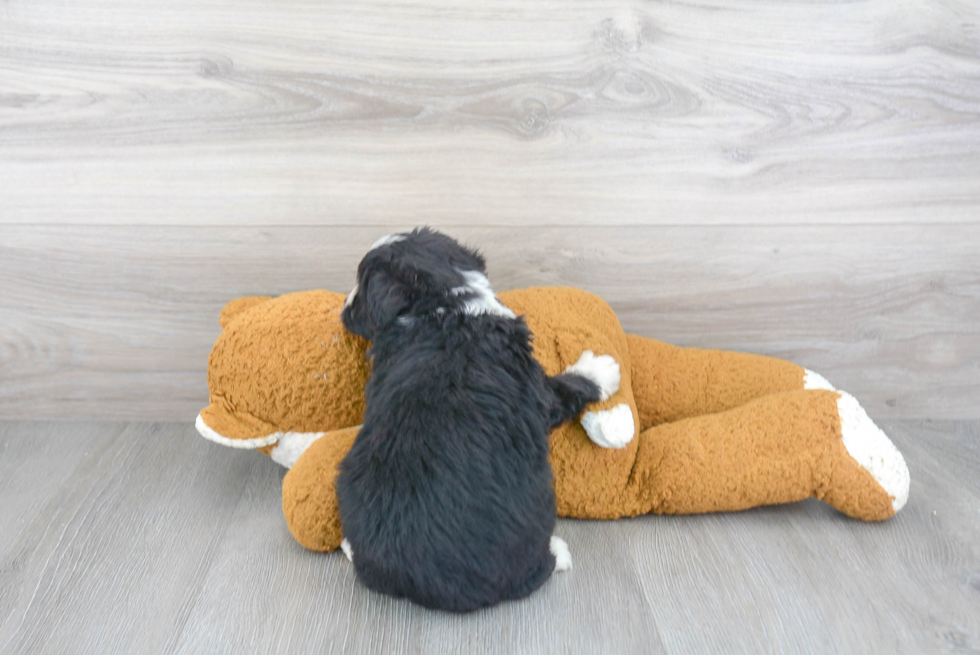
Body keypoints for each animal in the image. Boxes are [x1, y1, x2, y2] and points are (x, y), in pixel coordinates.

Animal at [336, 228, 620, 612]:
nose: (343, 306)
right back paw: (557, 553)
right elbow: (564, 389)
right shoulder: (537, 389)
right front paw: (600, 369)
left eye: (360, 287)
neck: (441, 305)